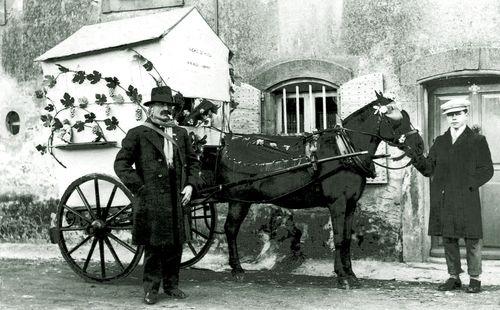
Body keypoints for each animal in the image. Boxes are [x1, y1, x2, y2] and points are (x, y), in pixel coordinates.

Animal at [215, 91, 422, 288]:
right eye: (397, 118)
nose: (419, 145)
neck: (344, 152)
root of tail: (227, 143)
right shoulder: (337, 202)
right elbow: (339, 238)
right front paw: (342, 276)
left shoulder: (351, 203)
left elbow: (347, 239)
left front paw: (351, 274)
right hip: (238, 200)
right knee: (230, 229)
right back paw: (237, 269)